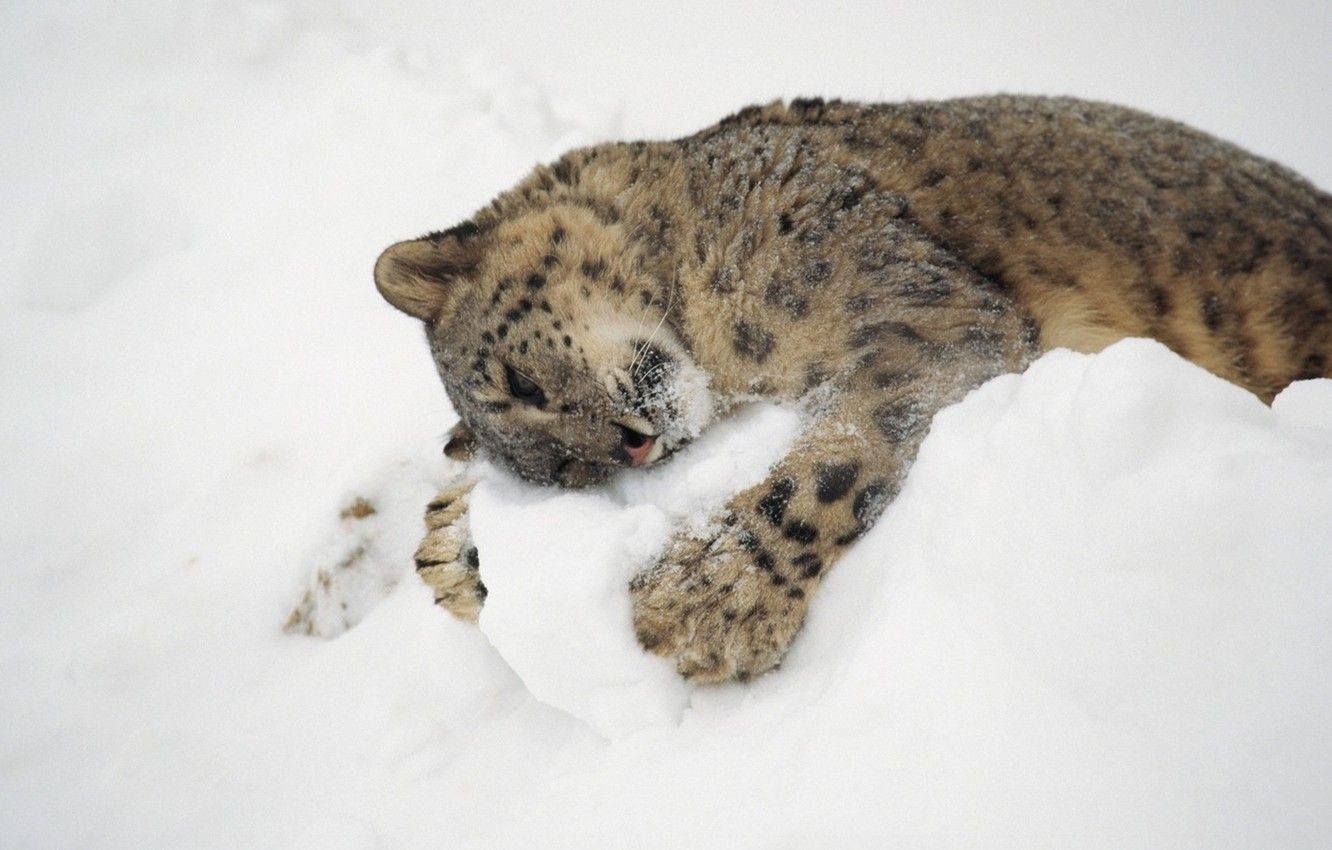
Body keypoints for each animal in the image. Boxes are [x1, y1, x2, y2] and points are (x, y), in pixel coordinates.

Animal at [374, 95, 1332, 683]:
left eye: (518, 383)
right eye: (565, 477)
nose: (631, 446)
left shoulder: (922, 314)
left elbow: (837, 458)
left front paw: (703, 600)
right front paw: (456, 549)